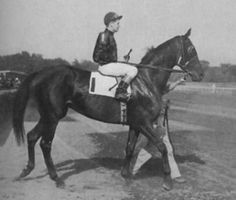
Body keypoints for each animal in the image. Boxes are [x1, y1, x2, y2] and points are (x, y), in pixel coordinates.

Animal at [12, 28, 203, 190]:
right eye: (191, 49)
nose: (200, 74)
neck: (146, 81)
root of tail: (41, 73)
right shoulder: (144, 123)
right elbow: (162, 147)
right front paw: (168, 181)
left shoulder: (135, 124)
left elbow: (130, 148)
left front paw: (126, 176)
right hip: (53, 116)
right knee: (45, 143)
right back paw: (56, 178)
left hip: (47, 116)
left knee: (31, 136)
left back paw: (26, 170)